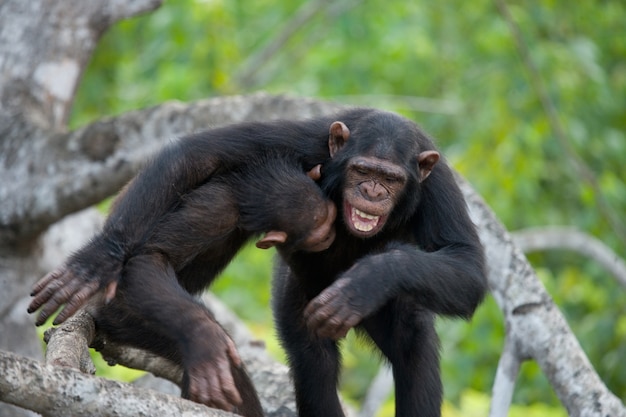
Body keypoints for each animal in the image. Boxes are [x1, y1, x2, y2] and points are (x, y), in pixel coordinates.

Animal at [270, 110, 486, 416]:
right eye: (362, 170)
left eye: (391, 178)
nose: (372, 191)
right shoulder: (307, 144)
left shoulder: (439, 183)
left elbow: (467, 262)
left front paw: (365, 280)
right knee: (313, 357)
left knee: (412, 343)